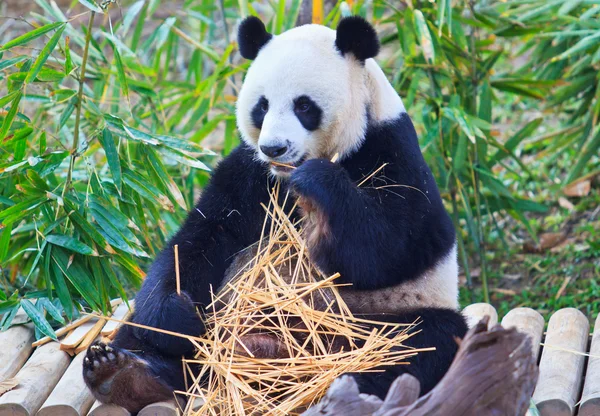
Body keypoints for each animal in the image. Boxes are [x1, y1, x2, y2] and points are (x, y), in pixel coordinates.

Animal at [83, 14, 468, 412]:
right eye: (262, 106)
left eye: (304, 106)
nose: (274, 148)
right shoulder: (249, 173)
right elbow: (199, 239)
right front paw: (178, 318)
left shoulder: (392, 150)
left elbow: (393, 246)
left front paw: (317, 184)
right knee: (148, 338)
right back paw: (125, 374)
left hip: (379, 318)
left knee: (420, 342)